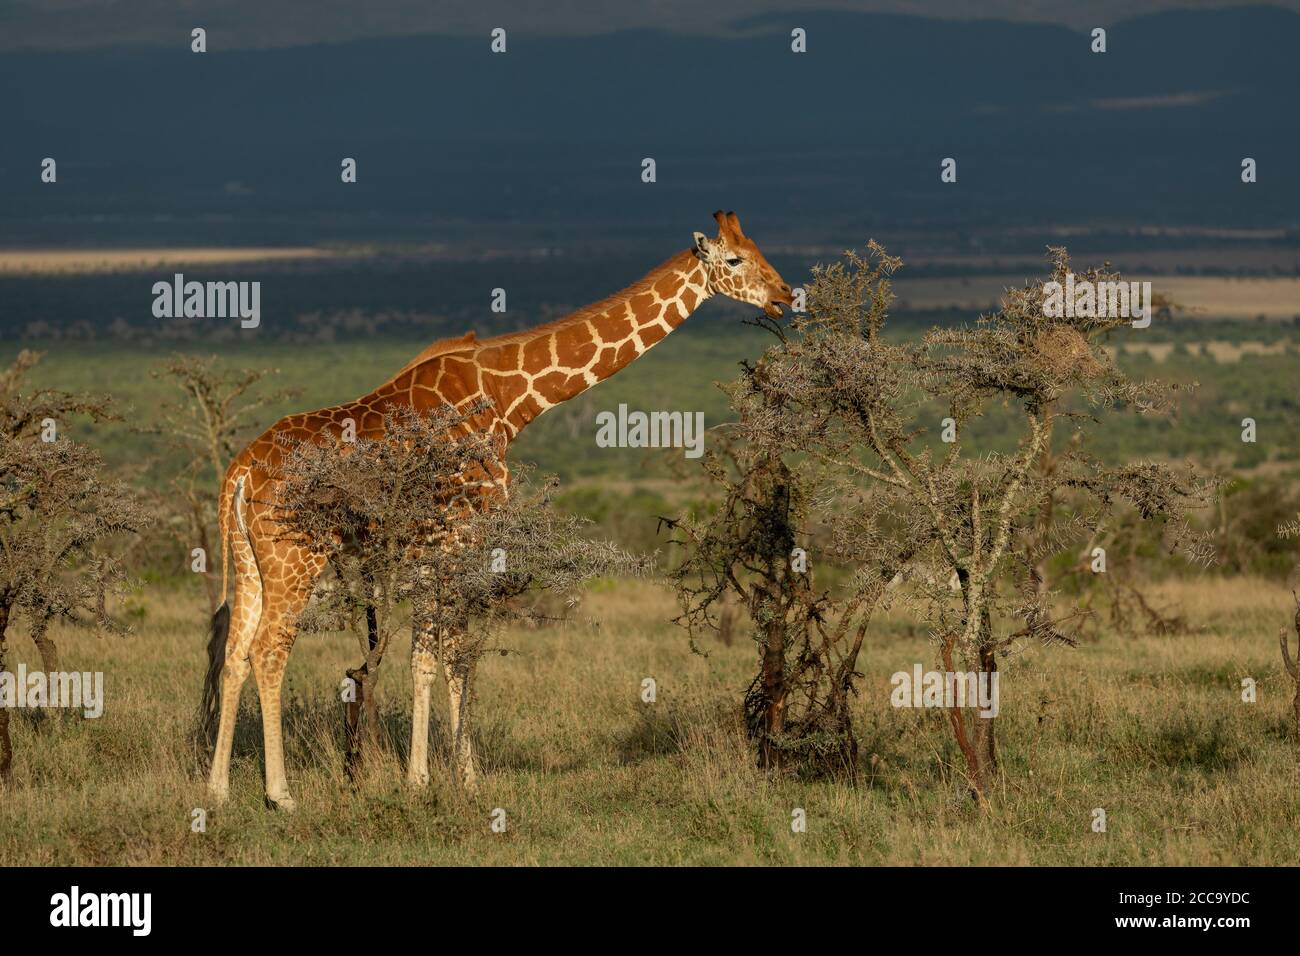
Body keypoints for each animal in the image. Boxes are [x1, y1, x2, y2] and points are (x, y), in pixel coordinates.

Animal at [200, 210, 794, 809]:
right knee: (268, 650)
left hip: (250, 557)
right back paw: (280, 794)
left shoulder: (432, 549)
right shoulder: (461, 536)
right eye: (736, 259)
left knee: (232, 651)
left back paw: (218, 788)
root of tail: (240, 471)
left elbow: (432, 657)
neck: (511, 399)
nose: (785, 296)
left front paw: (442, 776)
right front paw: (442, 779)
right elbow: (451, 657)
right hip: (295, 553)